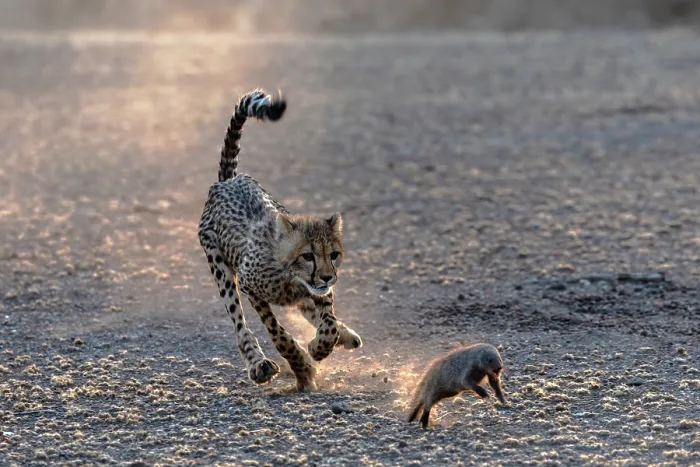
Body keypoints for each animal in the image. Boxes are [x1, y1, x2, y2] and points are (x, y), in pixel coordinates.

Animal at [198, 89, 362, 391]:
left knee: (310, 310)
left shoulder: (320, 290)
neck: (290, 276)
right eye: (307, 255)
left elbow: (328, 321)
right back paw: (257, 364)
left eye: (333, 254)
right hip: (219, 266)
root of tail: (227, 181)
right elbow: (278, 334)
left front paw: (320, 347)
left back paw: (346, 335)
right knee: (239, 322)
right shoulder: (250, 286)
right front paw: (302, 368)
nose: (326, 276)